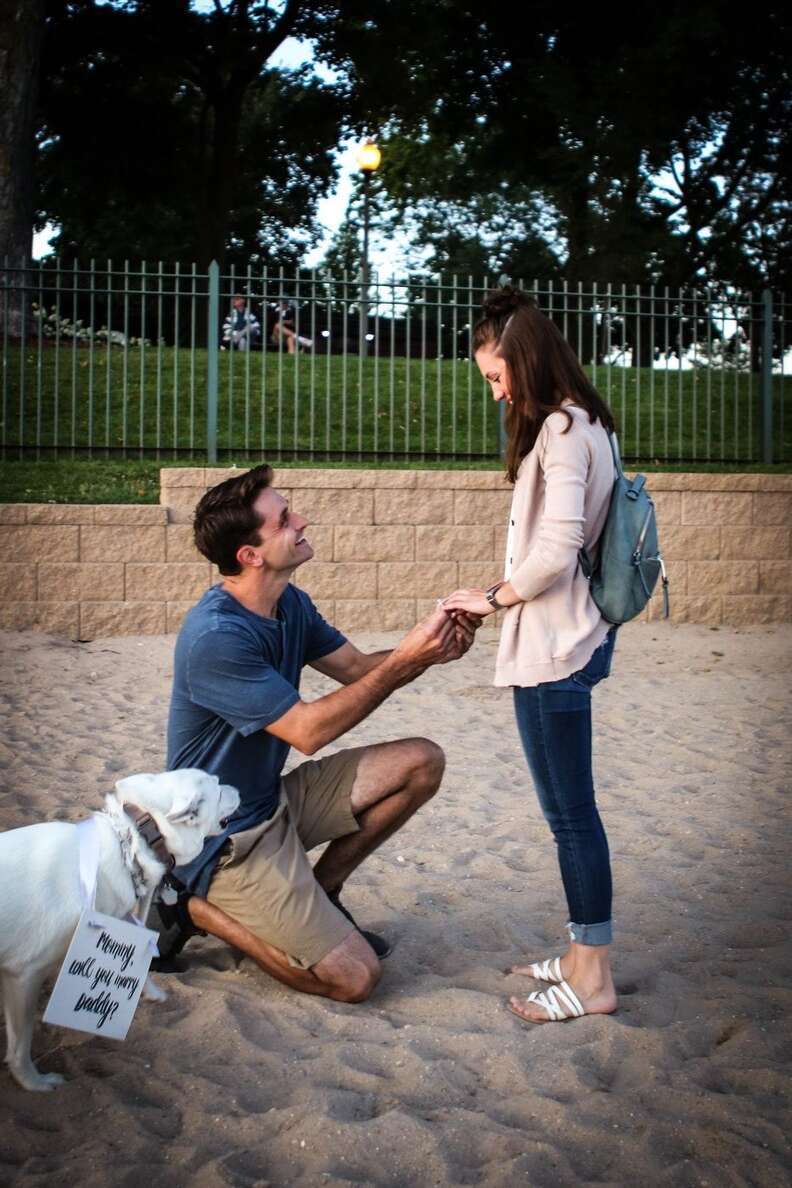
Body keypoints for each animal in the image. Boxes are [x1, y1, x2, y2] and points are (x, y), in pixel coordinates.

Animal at [0, 765, 238, 1088]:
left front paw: (152, 991)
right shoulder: (23, 974)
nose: (239, 789)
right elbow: (21, 1042)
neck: (133, 839)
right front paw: (34, 1082)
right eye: (219, 788)